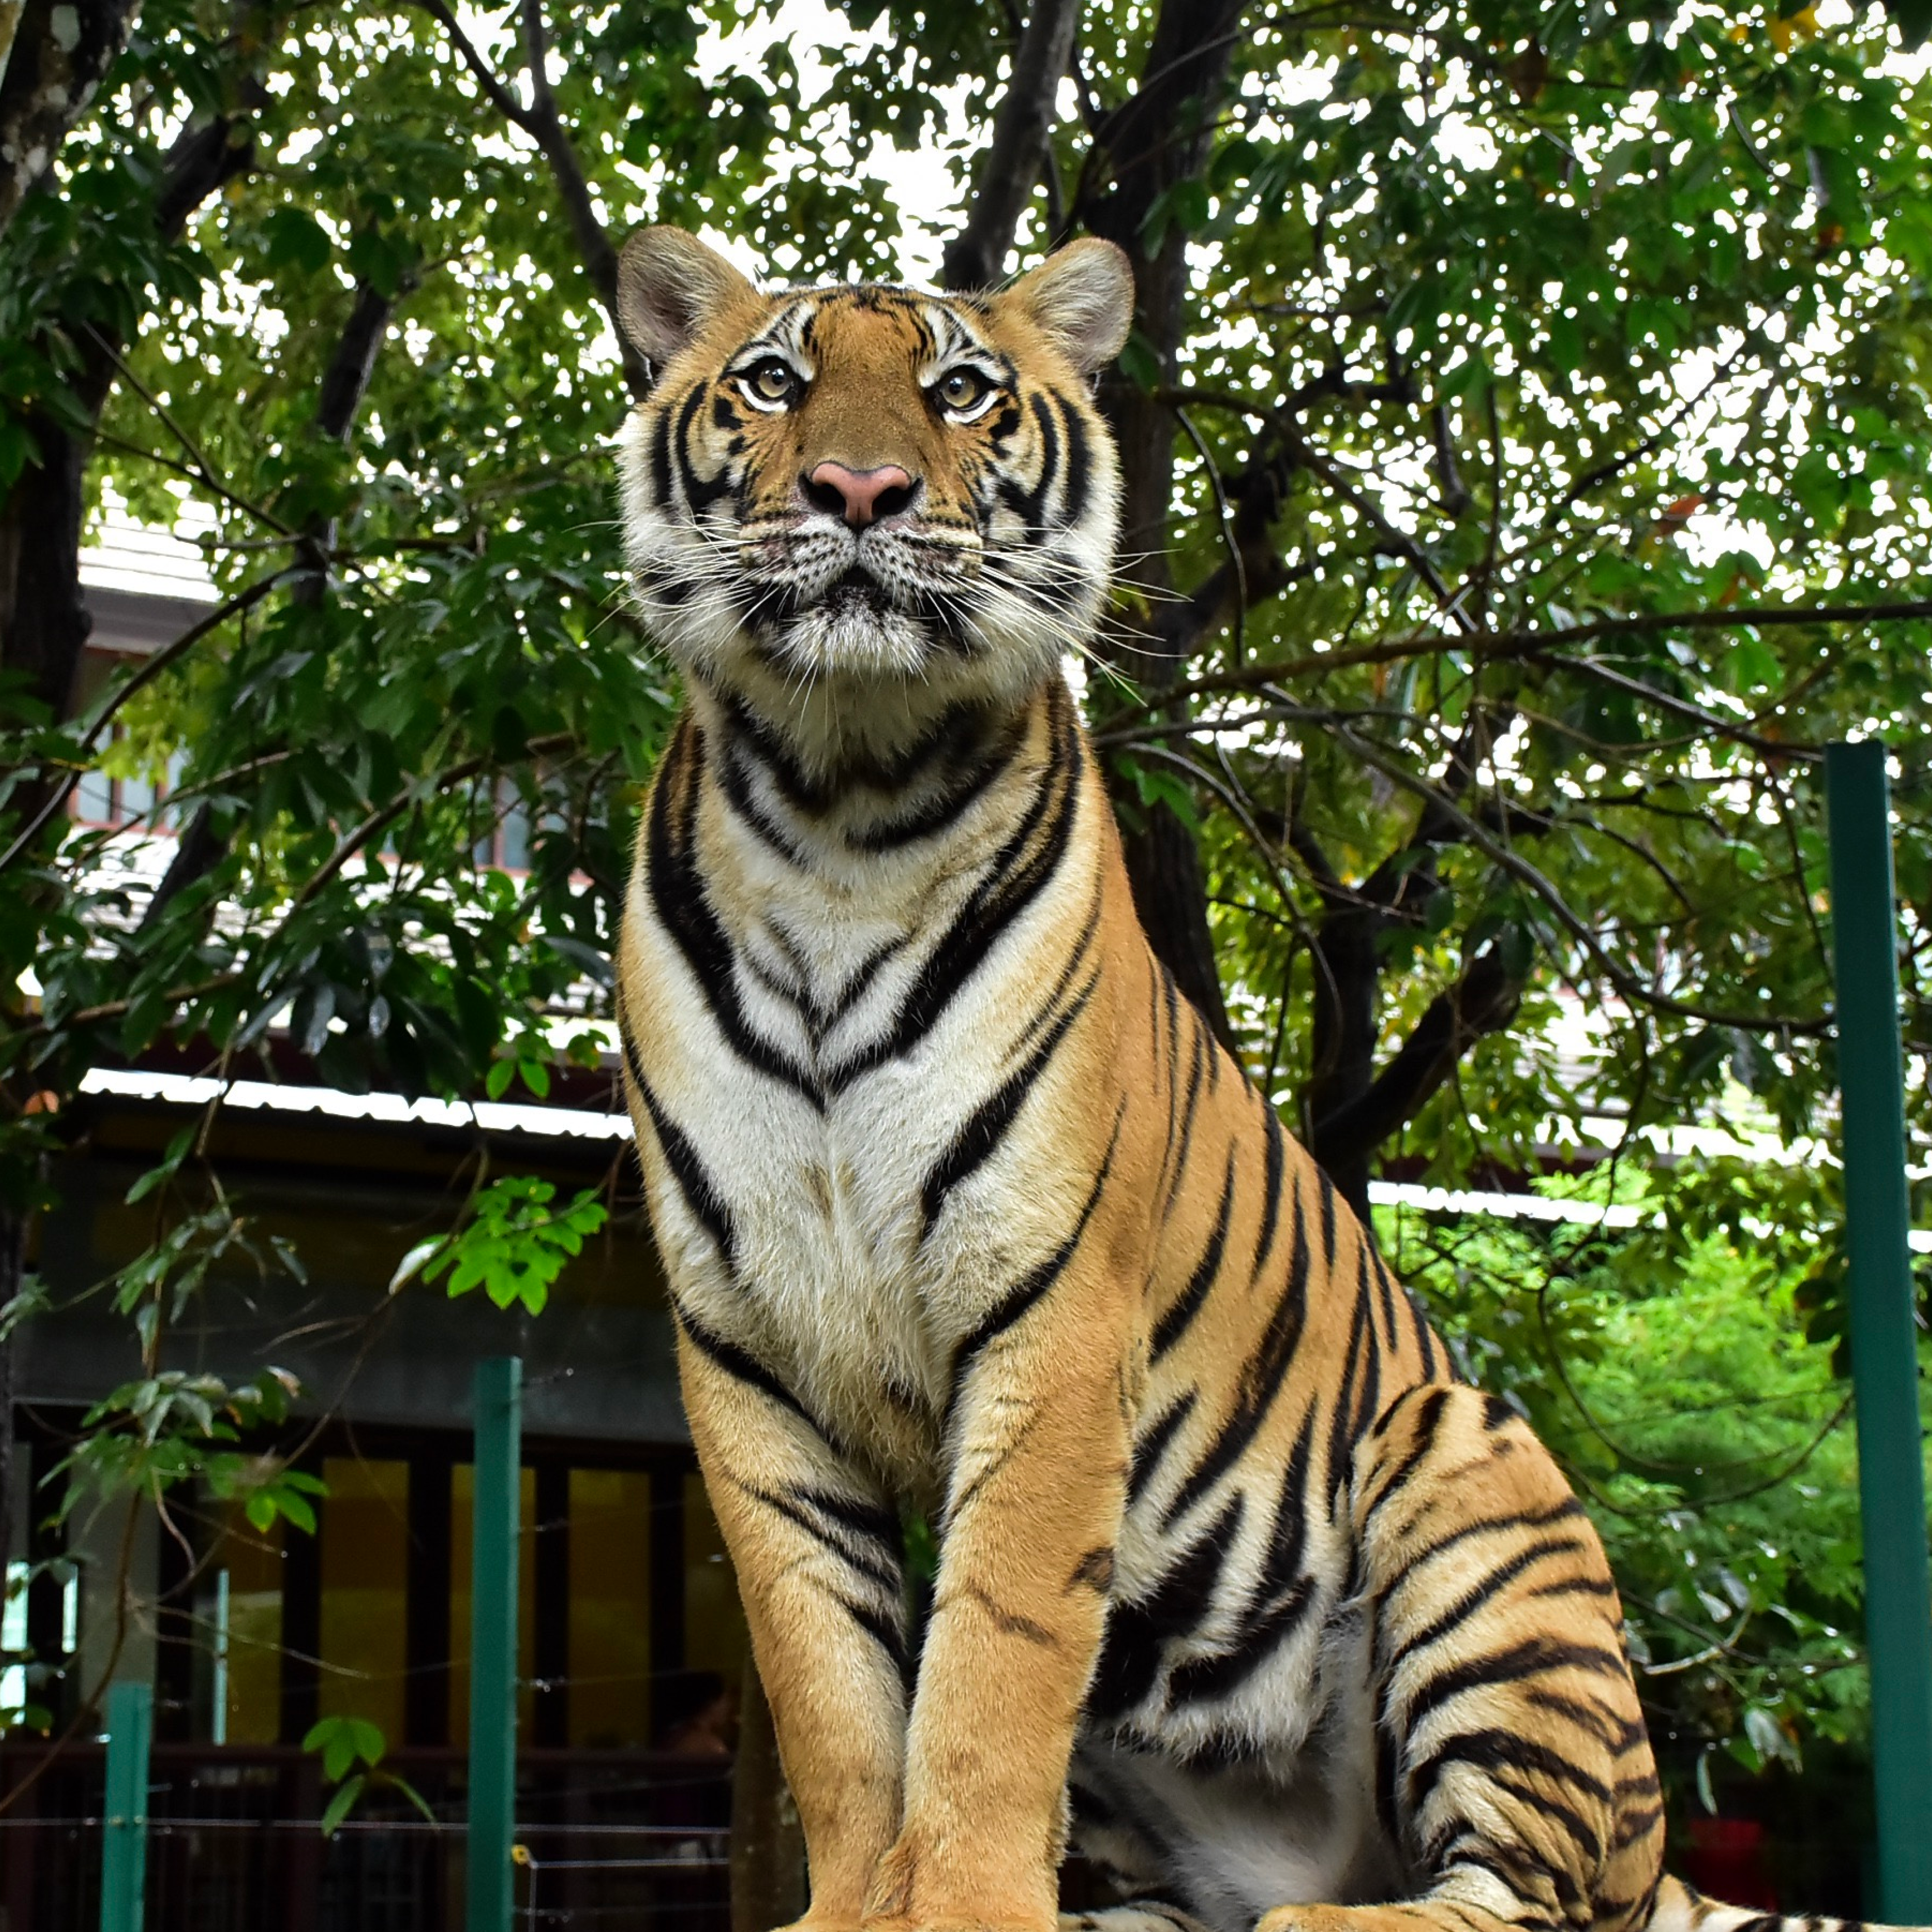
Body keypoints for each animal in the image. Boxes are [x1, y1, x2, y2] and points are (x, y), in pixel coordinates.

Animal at [607, 225, 1890, 1932]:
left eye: (962, 391)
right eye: (770, 380)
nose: (860, 490)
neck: (841, 806)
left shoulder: (1051, 1304)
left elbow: (995, 1656)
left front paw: (959, 1905)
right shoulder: (744, 1339)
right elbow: (829, 1677)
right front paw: (857, 1905)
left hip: (1472, 1496)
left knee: (1518, 1895)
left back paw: (1331, 1913)